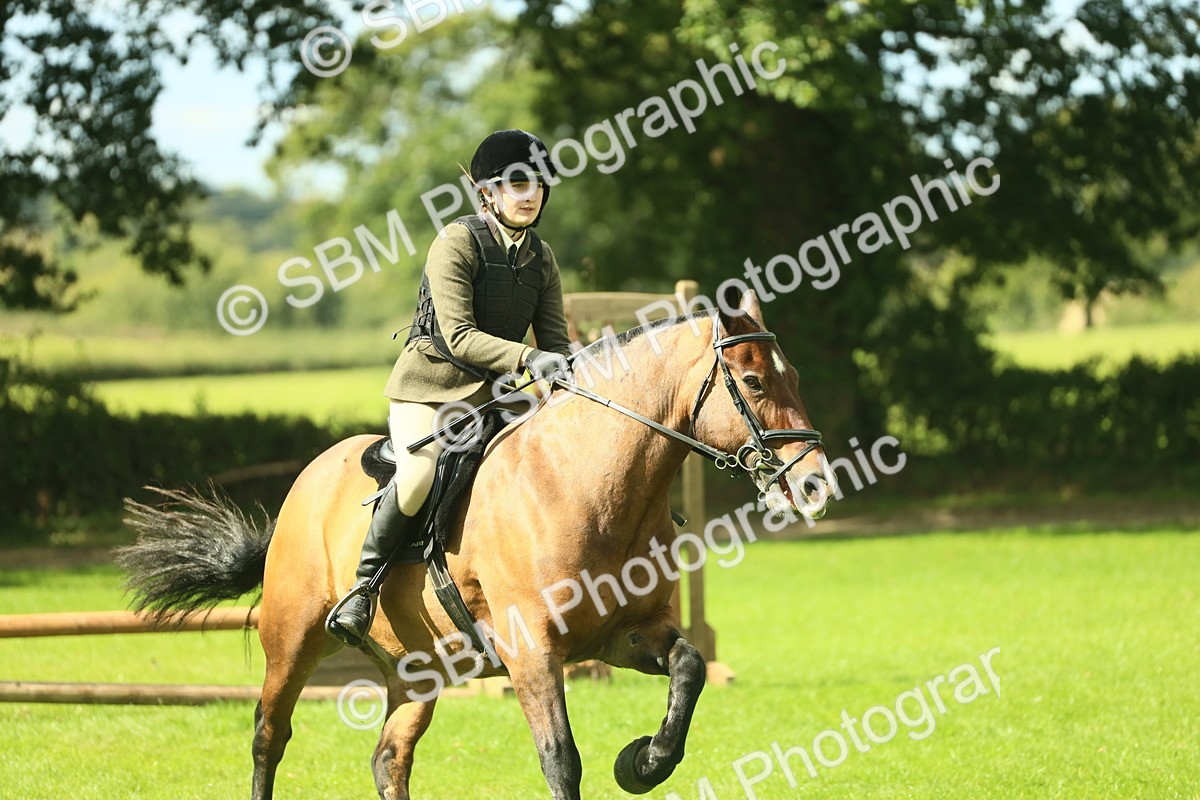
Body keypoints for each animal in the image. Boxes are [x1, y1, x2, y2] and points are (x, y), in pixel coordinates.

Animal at [116, 289, 833, 800]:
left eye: (795, 374)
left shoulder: (622, 634)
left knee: (389, 758)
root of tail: (308, 479)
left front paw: (643, 763)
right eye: (755, 382)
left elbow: (690, 668)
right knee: (270, 735)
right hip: (292, 638)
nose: (816, 483)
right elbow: (561, 760)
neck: (588, 482)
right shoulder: (531, 650)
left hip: (416, 671)